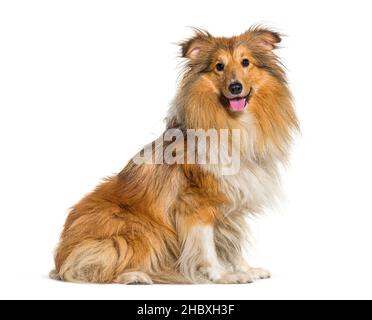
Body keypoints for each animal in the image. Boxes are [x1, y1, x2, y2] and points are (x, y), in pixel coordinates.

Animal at [50, 26, 300, 284]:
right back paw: (135, 276)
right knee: (94, 268)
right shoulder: (196, 205)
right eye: (219, 66)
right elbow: (207, 247)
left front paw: (245, 269)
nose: (235, 87)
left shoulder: (231, 204)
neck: (234, 125)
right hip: (137, 231)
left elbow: (233, 245)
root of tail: (60, 258)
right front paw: (222, 276)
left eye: (245, 62)